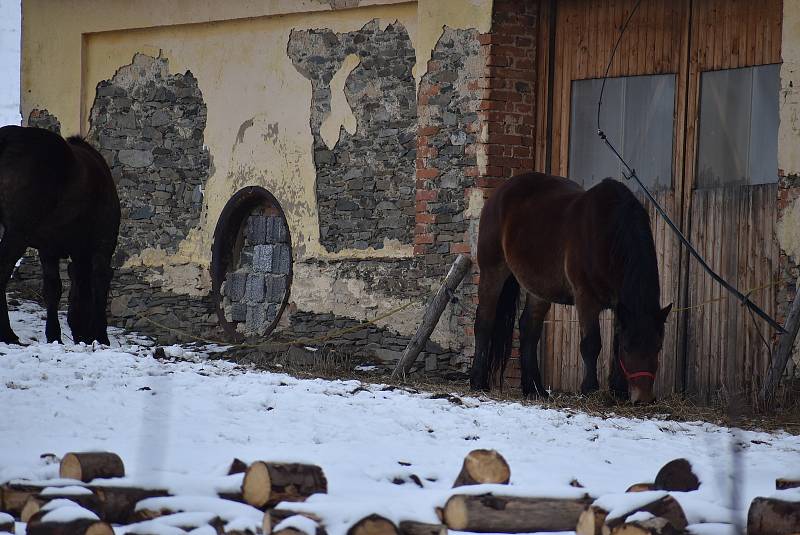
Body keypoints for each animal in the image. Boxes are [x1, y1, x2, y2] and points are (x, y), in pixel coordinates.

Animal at [0, 125, 120, 346]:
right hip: (18, 232)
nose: (84, 337)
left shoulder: (49, 247)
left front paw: (53, 335)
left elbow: (53, 288)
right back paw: (7, 334)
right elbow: (99, 281)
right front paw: (101, 335)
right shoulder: (103, 243)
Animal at [472, 174, 672, 404]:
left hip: (539, 288)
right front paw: (590, 389)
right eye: (629, 347)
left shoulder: (618, 305)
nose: (644, 398)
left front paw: (618, 391)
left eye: (658, 346)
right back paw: (478, 382)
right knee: (484, 322)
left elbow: (614, 343)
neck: (607, 235)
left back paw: (535, 388)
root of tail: (499, 192)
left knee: (529, 328)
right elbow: (592, 344)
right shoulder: (586, 299)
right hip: (492, 271)